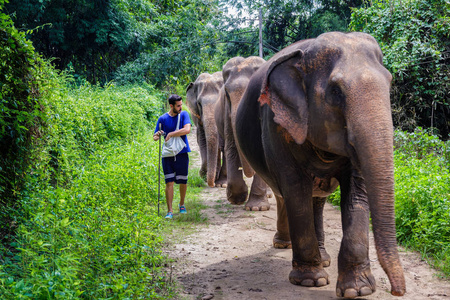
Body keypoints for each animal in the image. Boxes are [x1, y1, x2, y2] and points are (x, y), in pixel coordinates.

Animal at [234, 31, 406, 298]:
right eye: (335, 91)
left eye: (389, 83)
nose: (397, 291)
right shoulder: (276, 124)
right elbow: (296, 190)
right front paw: (310, 281)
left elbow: (357, 192)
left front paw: (358, 289)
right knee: (289, 194)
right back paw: (284, 245)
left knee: (316, 199)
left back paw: (322, 258)